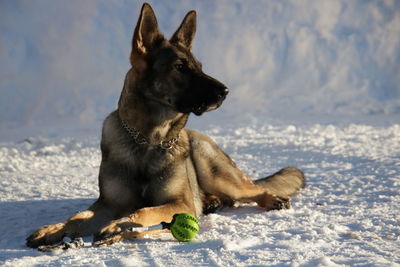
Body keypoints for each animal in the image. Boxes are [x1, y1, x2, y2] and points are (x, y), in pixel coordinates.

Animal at [26, 2, 304, 249]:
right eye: (180, 67)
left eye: (199, 67)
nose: (225, 91)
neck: (147, 140)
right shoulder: (108, 204)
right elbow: (77, 217)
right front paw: (53, 229)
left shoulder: (179, 203)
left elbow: (143, 210)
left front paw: (117, 226)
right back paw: (213, 202)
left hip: (216, 172)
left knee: (252, 189)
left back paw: (273, 199)